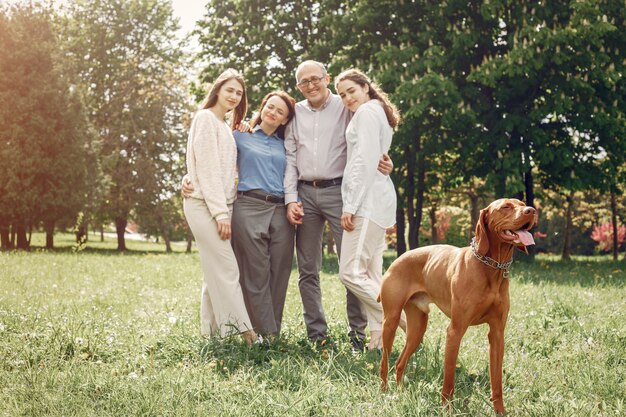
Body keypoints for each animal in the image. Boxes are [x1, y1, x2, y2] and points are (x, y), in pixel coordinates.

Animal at [376, 197, 536, 412]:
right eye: (505, 207)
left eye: (523, 204)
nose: (532, 210)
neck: (490, 268)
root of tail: (398, 258)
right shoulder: (455, 331)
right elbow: (449, 378)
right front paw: (447, 409)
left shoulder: (497, 334)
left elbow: (497, 382)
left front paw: (500, 411)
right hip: (391, 322)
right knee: (384, 363)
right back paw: (384, 393)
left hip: (417, 329)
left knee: (400, 363)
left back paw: (400, 393)